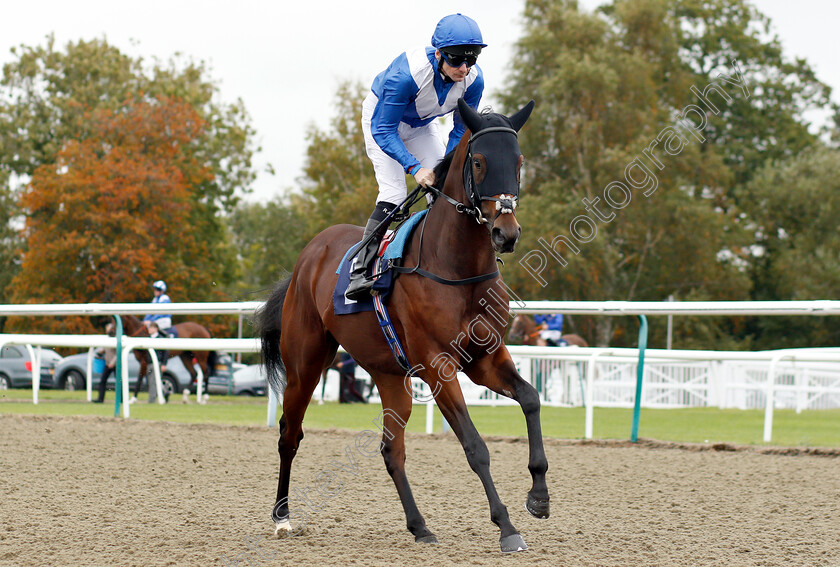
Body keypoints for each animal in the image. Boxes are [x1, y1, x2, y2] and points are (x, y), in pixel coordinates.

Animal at [258, 98, 544, 556]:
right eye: (479, 162)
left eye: (518, 162)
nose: (506, 232)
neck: (458, 269)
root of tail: (309, 254)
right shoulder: (439, 367)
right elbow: (475, 447)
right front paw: (506, 527)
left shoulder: (485, 358)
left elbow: (531, 399)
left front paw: (539, 496)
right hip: (305, 363)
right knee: (290, 433)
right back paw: (283, 518)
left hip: (390, 375)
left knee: (391, 450)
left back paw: (419, 526)